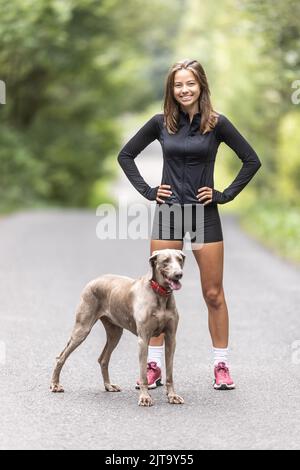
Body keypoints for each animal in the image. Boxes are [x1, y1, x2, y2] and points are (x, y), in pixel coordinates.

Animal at [49, 248, 185, 406]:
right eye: (165, 261)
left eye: (180, 260)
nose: (179, 274)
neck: (160, 294)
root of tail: (94, 280)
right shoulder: (143, 339)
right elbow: (143, 375)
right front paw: (145, 397)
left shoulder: (171, 338)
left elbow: (170, 373)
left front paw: (172, 396)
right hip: (82, 329)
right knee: (61, 357)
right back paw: (55, 384)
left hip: (115, 333)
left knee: (103, 359)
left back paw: (108, 385)